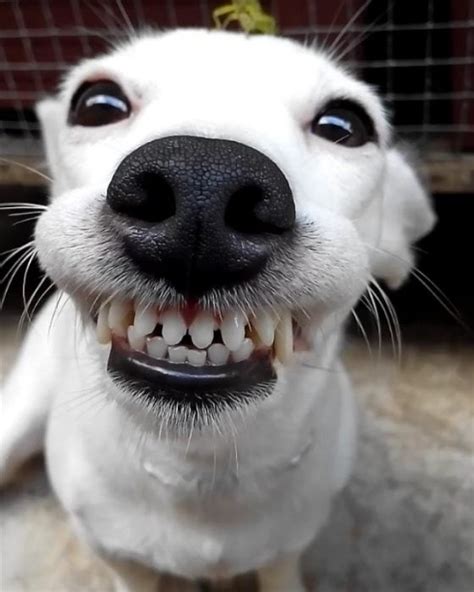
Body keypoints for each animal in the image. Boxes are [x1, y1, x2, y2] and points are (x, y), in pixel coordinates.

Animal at [1, 28, 436, 592]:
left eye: (344, 125)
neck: (196, 464)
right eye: (96, 104)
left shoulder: (287, 549)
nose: (201, 184)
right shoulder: (116, 553)